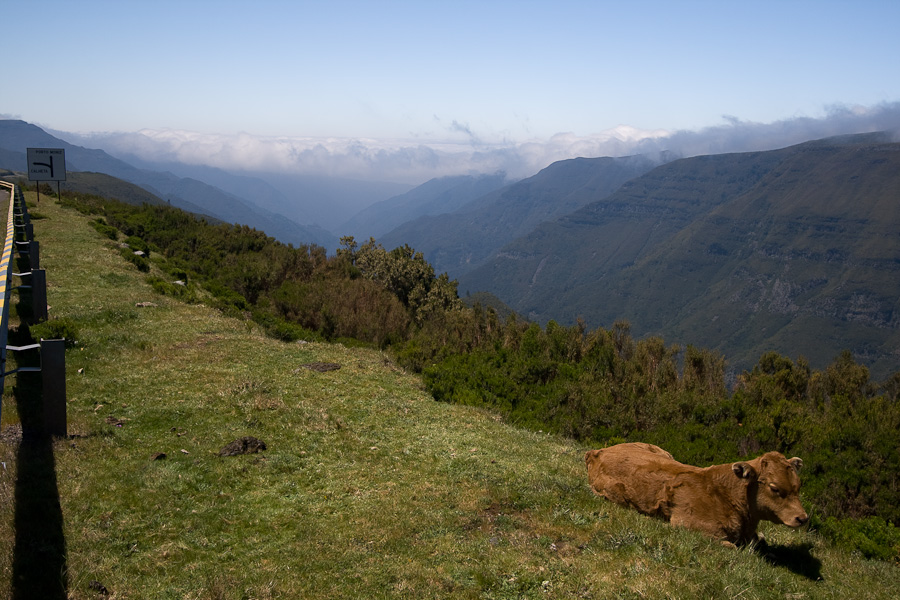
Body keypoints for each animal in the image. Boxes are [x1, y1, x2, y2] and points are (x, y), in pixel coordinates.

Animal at [584, 442, 808, 548]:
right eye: (775, 488)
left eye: (798, 486)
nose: (803, 518)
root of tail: (597, 451)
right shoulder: (689, 525)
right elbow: (733, 547)